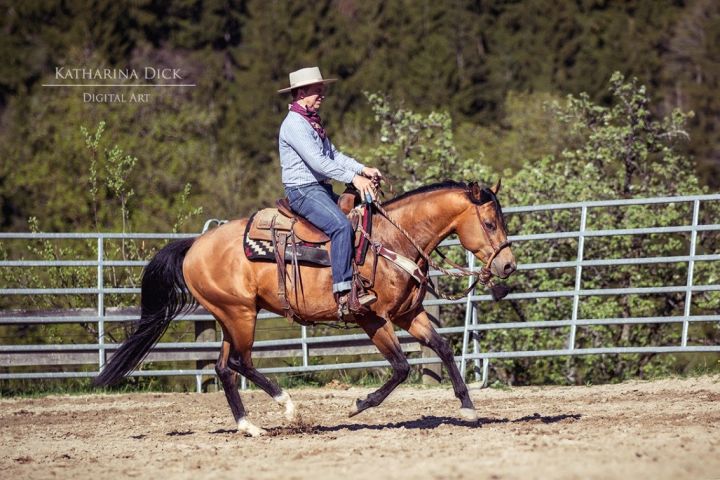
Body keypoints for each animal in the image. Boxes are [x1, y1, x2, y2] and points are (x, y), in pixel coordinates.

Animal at [93, 179, 516, 436]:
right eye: (490, 223)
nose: (508, 266)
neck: (391, 240)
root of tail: (194, 245)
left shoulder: (408, 314)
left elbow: (443, 348)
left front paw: (468, 408)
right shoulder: (371, 318)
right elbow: (400, 367)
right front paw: (359, 405)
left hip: (232, 316)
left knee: (224, 367)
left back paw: (249, 426)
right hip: (240, 315)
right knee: (241, 363)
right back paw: (290, 410)